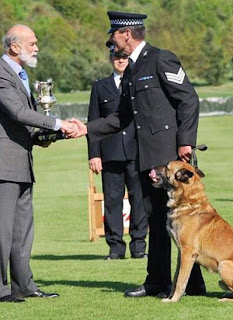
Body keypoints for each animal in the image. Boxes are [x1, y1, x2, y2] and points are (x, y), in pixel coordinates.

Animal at [151, 161, 233, 302]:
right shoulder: (181, 253)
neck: (188, 203)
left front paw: (173, 300)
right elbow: (175, 278)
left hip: (223, 265)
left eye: (167, 167)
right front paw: (170, 297)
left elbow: (180, 280)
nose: (151, 168)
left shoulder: (188, 253)